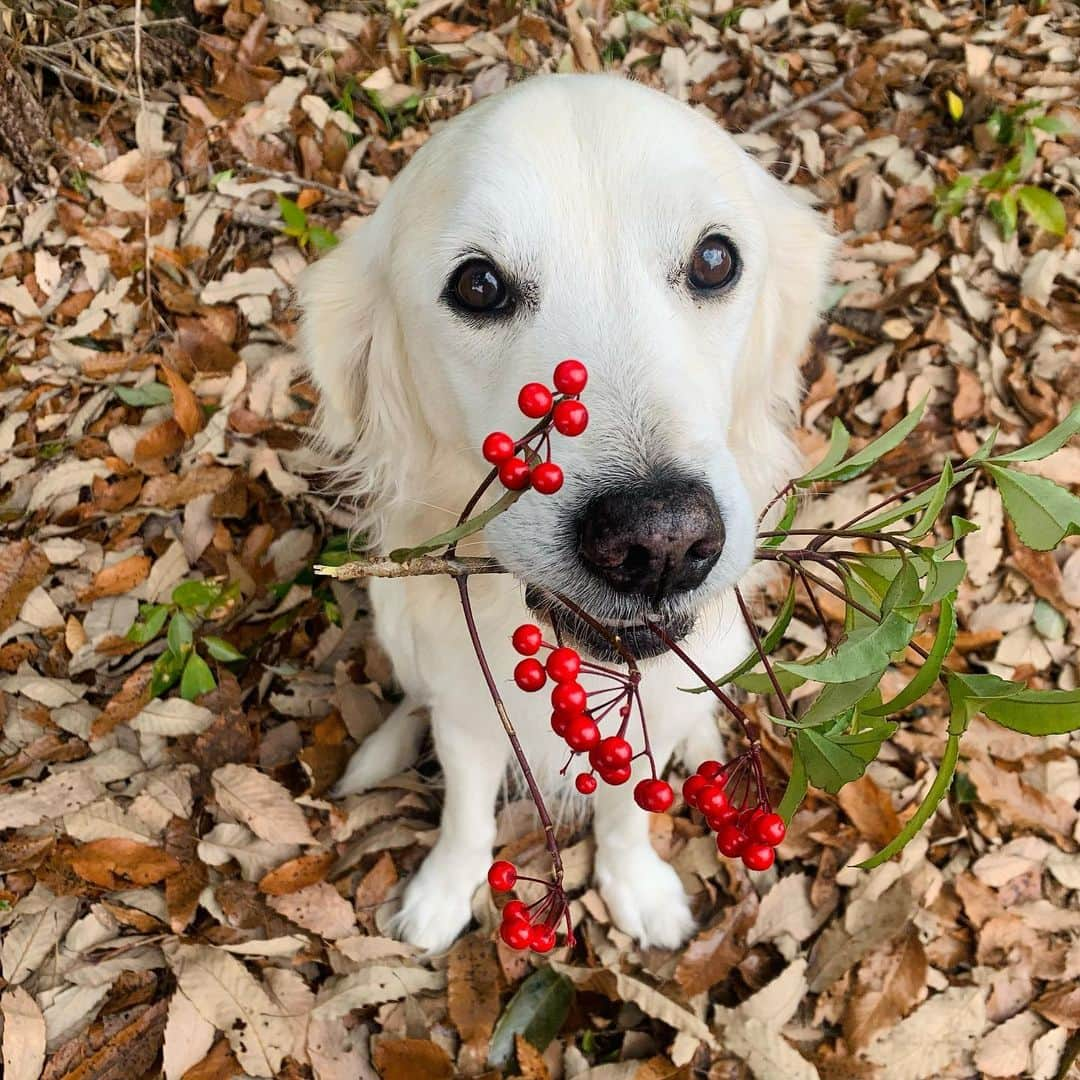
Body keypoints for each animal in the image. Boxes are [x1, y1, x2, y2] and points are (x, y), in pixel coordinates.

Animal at [300, 73, 829, 954]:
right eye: (478, 285)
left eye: (714, 260)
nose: (660, 539)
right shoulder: (469, 712)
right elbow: (466, 813)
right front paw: (445, 889)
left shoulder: (643, 721)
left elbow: (625, 812)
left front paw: (635, 883)